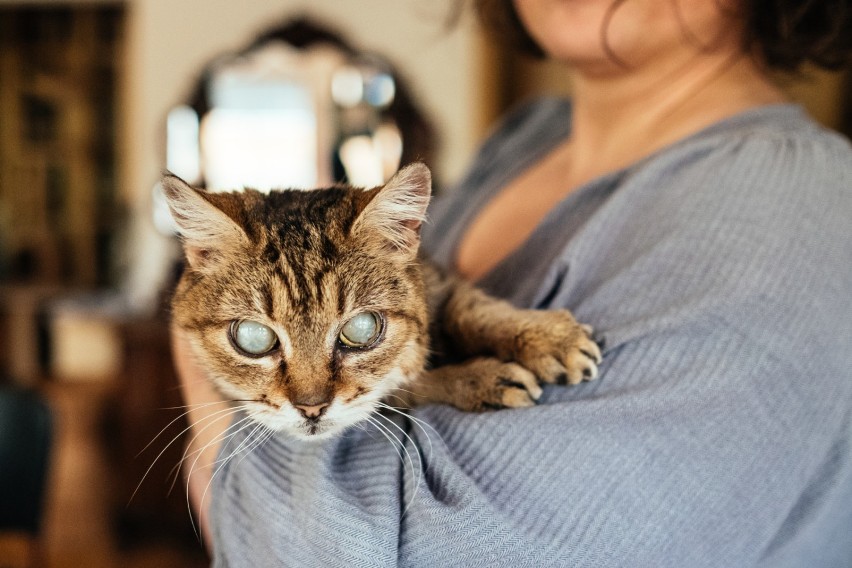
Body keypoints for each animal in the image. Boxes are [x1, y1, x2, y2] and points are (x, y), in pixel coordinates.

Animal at [161, 163, 600, 440]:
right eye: (253, 338)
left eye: (360, 329)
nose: (311, 408)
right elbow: (408, 386)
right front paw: (481, 378)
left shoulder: (438, 281)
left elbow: (474, 309)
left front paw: (549, 337)